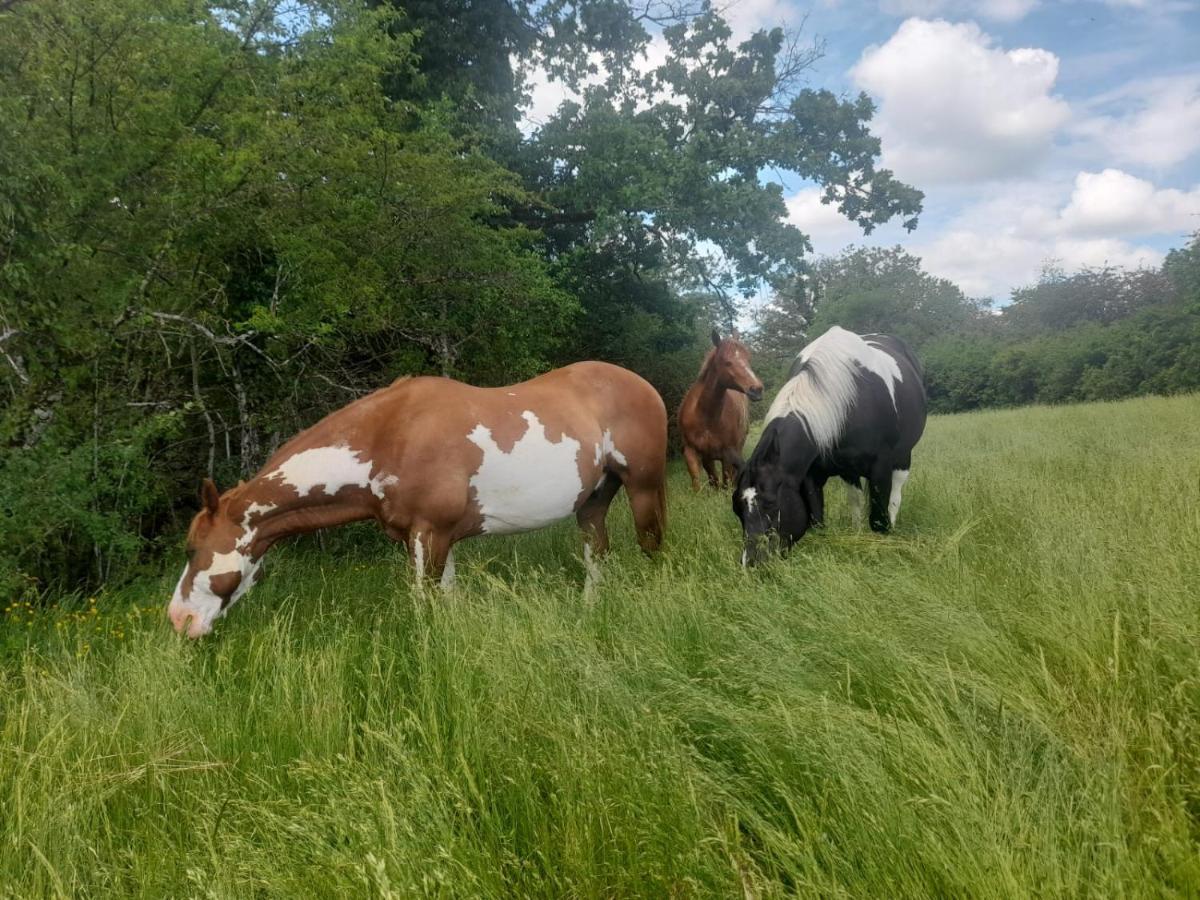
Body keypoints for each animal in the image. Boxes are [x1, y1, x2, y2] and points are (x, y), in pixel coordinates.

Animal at [165, 362, 672, 638]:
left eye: (192, 550)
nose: (179, 620)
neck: (390, 437)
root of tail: (642, 383)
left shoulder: (431, 535)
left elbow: (425, 608)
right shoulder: (429, 539)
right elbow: (446, 603)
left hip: (643, 487)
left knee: (652, 547)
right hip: (594, 500)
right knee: (596, 552)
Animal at [681, 328, 763, 489]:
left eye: (748, 359)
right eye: (727, 362)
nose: (756, 389)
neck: (705, 417)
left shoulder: (728, 454)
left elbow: (726, 484)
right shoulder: (692, 453)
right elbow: (699, 484)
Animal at [729, 324, 926, 566]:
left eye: (771, 504)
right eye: (736, 509)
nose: (752, 563)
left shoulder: (881, 467)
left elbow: (879, 519)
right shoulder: (811, 476)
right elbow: (817, 520)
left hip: (902, 458)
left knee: (895, 495)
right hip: (850, 470)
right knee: (855, 499)